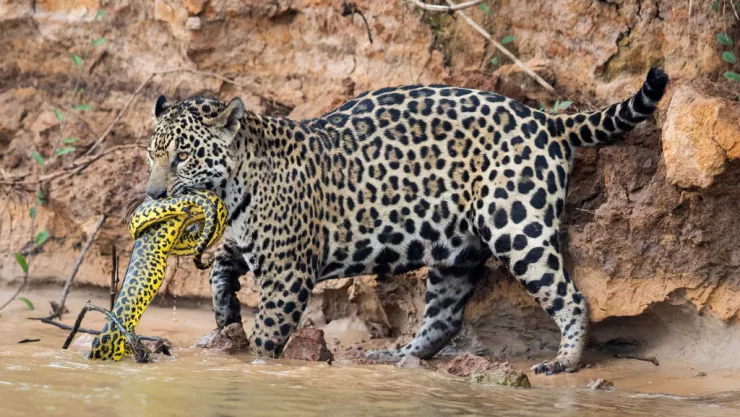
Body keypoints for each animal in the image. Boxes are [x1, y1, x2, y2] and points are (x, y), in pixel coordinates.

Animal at [145, 68, 669, 374]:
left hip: (516, 226)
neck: (235, 185)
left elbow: (269, 332)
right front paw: (225, 316)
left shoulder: (287, 271)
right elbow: (220, 268)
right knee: (445, 318)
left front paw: (253, 359)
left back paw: (564, 362)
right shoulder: (251, 244)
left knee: (570, 297)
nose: (153, 194)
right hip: (457, 250)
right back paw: (398, 357)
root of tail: (547, 121)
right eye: (152, 155)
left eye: (183, 157)